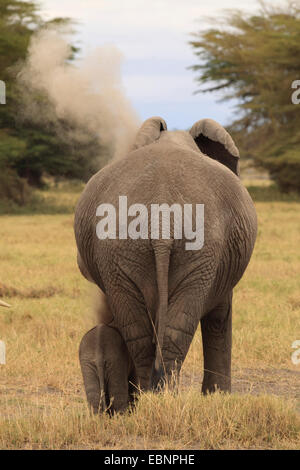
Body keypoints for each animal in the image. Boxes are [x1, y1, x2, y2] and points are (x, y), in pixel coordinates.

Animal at [74, 115, 256, 414]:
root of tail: (161, 219)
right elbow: (220, 316)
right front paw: (218, 398)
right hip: (195, 252)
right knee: (174, 330)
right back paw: (160, 399)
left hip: (124, 250)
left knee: (139, 331)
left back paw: (148, 400)